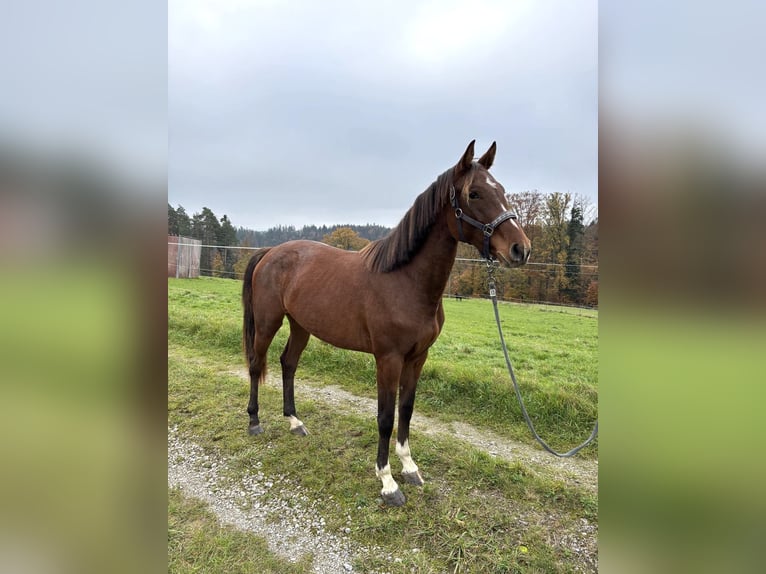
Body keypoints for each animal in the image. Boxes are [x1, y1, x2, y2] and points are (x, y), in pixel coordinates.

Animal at [243, 142, 532, 506]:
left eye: (503, 191)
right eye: (475, 193)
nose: (521, 249)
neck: (404, 281)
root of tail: (269, 252)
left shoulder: (418, 357)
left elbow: (406, 410)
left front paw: (410, 468)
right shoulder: (388, 359)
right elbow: (384, 417)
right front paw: (388, 482)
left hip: (300, 326)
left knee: (288, 363)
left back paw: (295, 422)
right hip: (268, 322)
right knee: (256, 364)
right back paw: (254, 421)